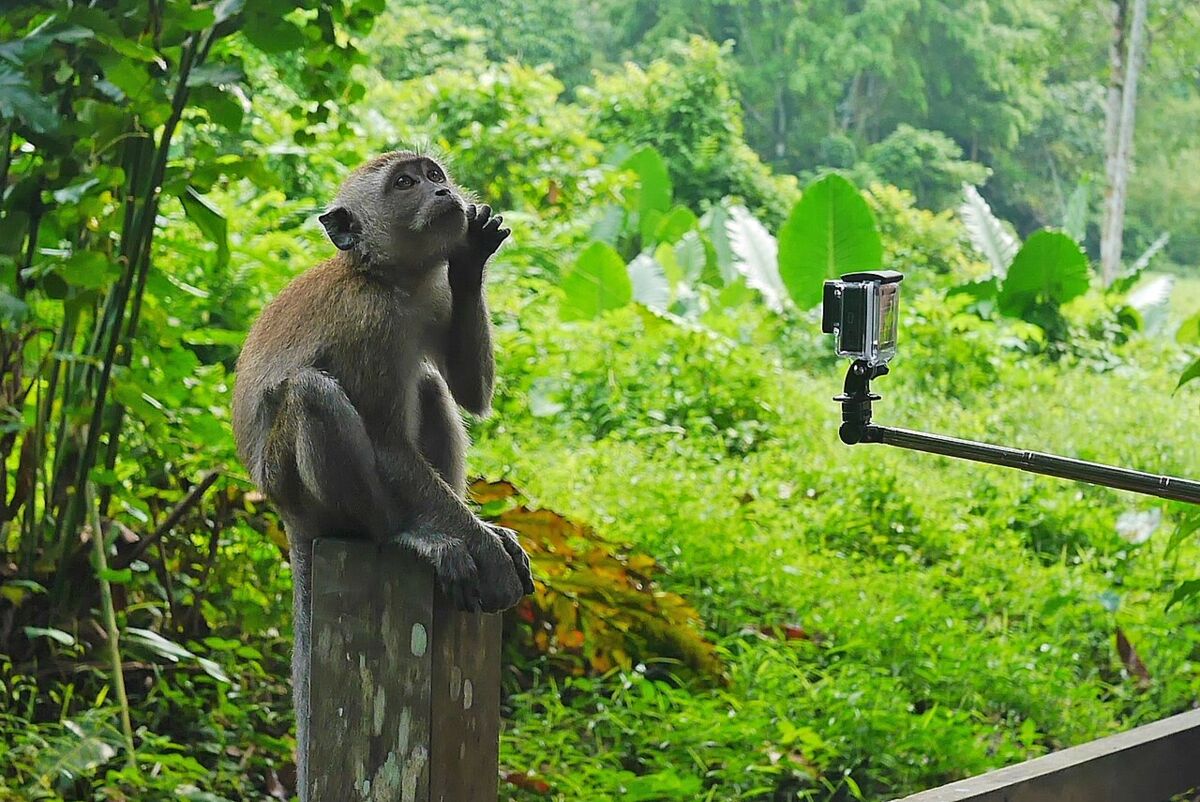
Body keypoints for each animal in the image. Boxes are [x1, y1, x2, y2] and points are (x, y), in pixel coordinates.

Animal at [230, 151, 534, 795]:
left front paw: (471, 258)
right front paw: (481, 545)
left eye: (434, 173)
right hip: (298, 487)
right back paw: (403, 536)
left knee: (429, 384)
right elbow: (389, 443)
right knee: (314, 394)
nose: (442, 193)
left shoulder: (437, 298)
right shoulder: (369, 324)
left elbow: (469, 394)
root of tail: (284, 513)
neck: (393, 280)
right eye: (403, 183)